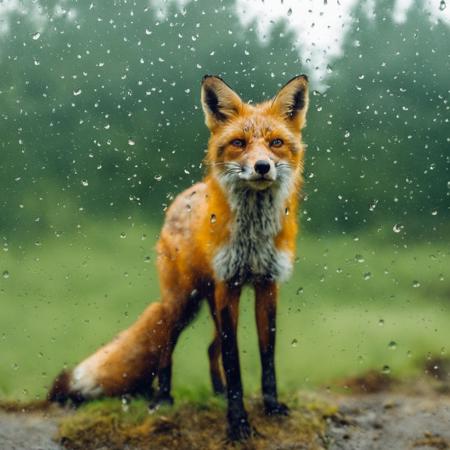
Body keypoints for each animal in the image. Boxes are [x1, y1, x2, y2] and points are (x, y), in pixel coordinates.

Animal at [50, 75, 310, 442]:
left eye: (276, 143)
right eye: (239, 143)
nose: (262, 167)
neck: (253, 237)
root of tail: (182, 197)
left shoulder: (266, 284)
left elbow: (266, 356)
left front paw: (270, 407)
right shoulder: (228, 285)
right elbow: (233, 361)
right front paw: (237, 423)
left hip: (210, 303)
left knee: (210, 349)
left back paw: (216, 392)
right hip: (183, 302)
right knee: (166, 350)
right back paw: (162, 398)